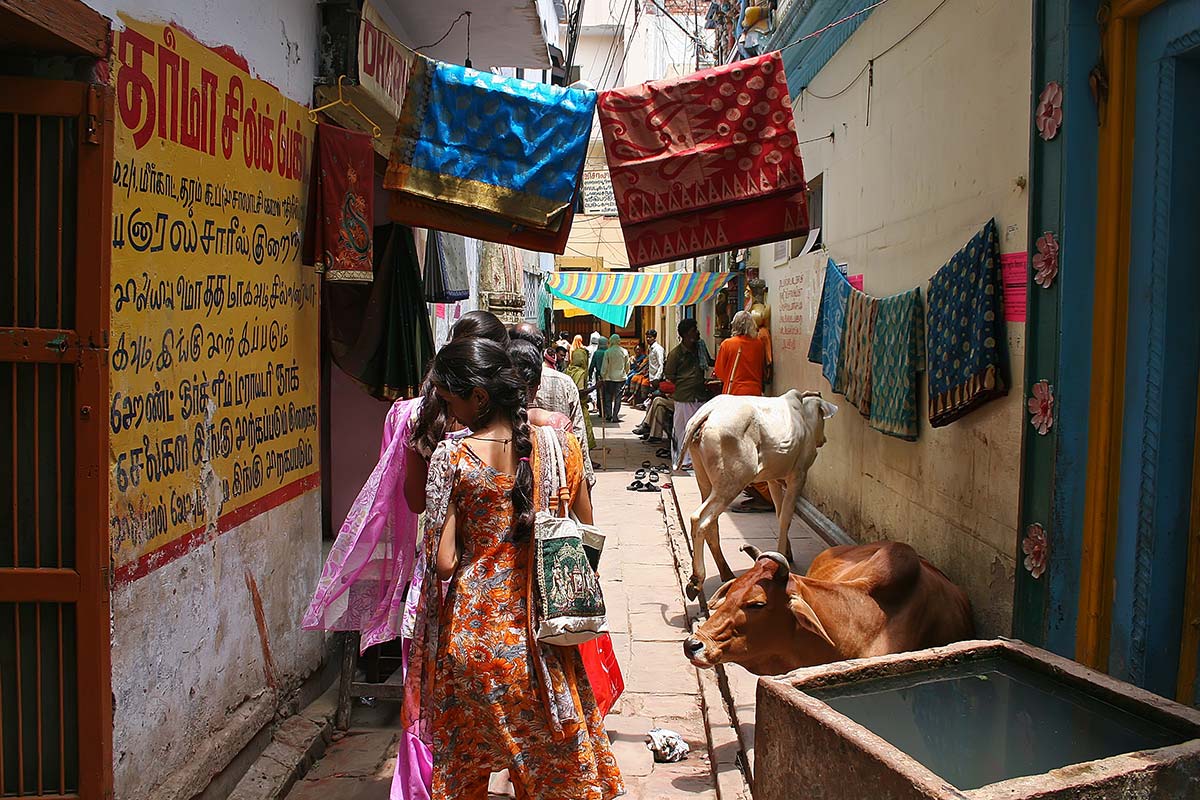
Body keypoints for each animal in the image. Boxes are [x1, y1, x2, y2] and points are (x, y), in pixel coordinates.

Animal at [676, 391, 835, 597]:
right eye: (822, 418)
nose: (823, 439)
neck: (803, 418)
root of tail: (708, 412)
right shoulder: (798, 476)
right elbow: (786, 517)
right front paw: (783, 555)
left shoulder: (774, 480)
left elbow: (780, 514)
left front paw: (787, 552)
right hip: (732, 482)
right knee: (699, 518)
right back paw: (696, 580)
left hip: (705, 479)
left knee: (712, 524)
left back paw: (726, 573)